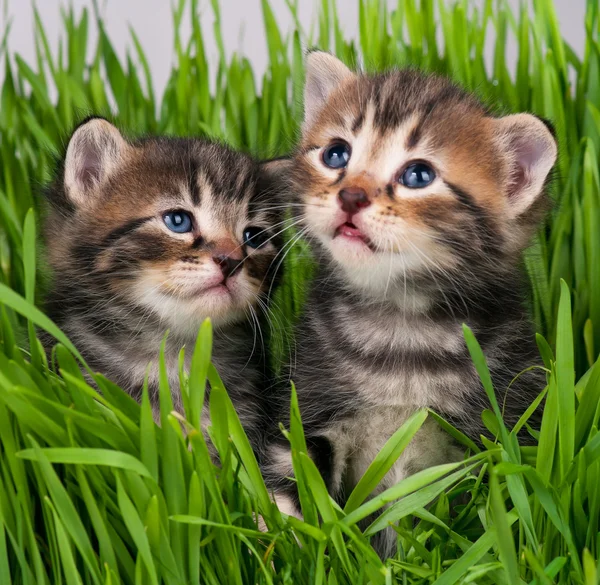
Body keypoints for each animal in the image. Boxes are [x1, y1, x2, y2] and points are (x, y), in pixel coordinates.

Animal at [264, 50, 556, 552]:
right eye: (336, 153)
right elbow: (290, 479)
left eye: (418, 175)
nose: (351, 195)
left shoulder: (504, 416)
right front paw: (279, 545)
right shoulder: (308, 403)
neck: (401, 325)